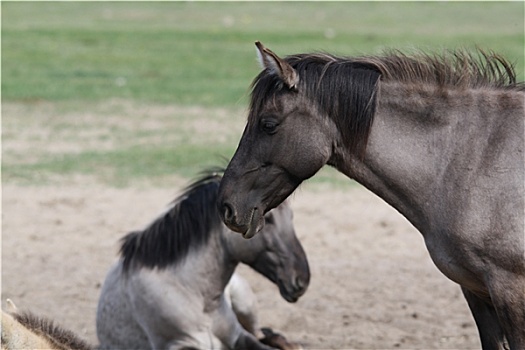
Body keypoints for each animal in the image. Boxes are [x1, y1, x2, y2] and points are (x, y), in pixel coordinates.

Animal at [96, 172, 310, 350]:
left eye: (291, 216)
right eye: (269, 219)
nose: (302, 280)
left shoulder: (238, 336)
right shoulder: (181, 345)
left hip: (245, 305)